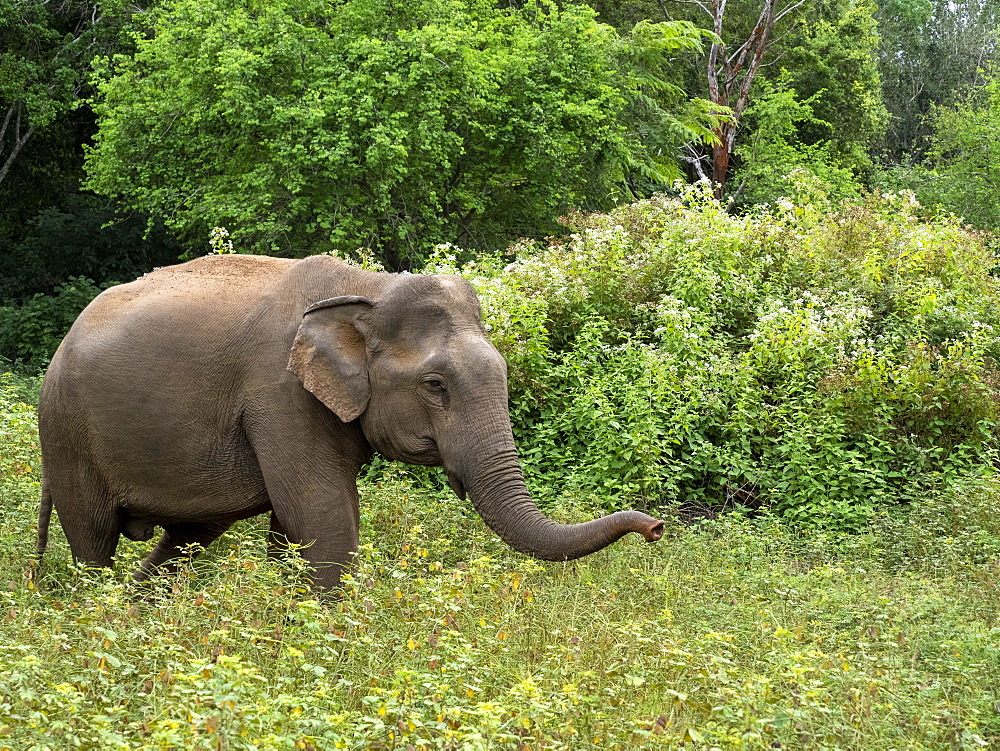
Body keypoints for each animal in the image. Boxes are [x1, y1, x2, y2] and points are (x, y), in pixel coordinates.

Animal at [35, 256, 668, 592]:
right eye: (435, 385)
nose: (656, 528)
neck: (368, 288)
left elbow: (296, 525)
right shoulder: (280, 396)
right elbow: (323, 515)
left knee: (187, 539)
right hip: (65, 432)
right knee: (92, 537)